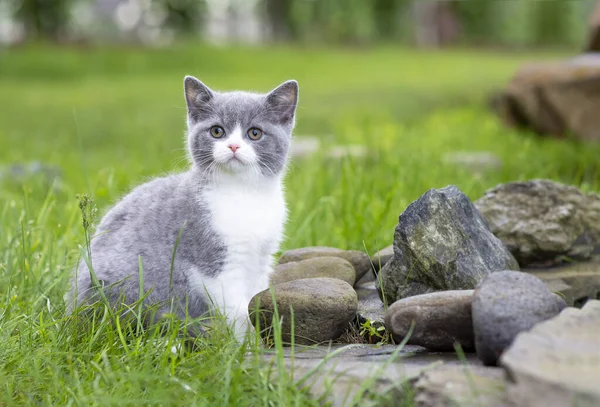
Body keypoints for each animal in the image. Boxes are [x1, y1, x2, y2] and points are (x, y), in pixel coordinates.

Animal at [67, 77, 298, 342]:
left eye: (255, 133)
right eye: (217, 131)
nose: (233, 146)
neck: (244, 194)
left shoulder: (261, 259)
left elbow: (255, 297)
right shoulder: (213, 262)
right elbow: (237, 310)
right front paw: (244, 345)